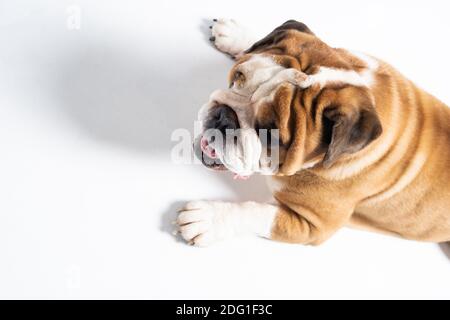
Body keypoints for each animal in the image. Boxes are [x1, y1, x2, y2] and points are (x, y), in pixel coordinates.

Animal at [175, 18, 450, 246]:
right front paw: (238, 35)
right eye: (238, 77)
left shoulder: (312, 224)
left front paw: (207, 220)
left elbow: (258, 213)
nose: (225, 117)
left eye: (270, 135)